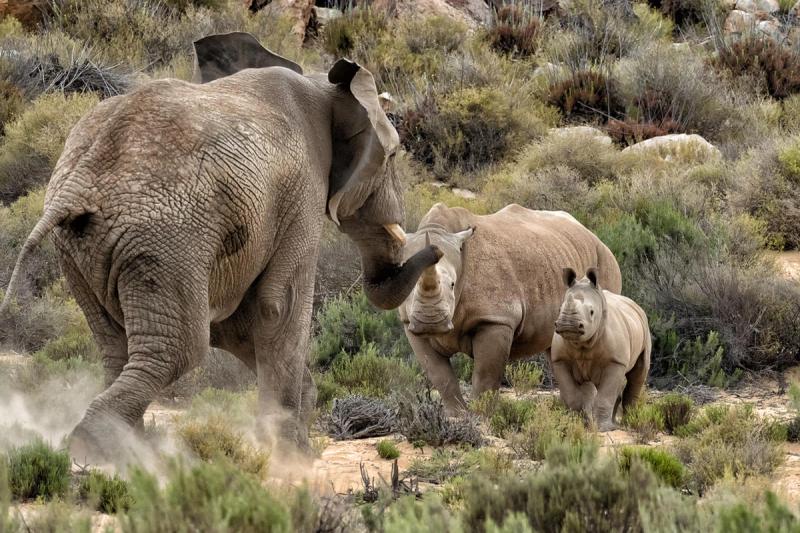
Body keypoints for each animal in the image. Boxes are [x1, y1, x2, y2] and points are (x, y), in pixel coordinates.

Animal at [0, 32, 442, 461]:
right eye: (393, 154)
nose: (436, 249)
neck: (324, 86)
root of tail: (78, 183)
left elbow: (238, 324)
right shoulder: (303, 195)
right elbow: (278, 307)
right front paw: (292, 456)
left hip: (84, 250)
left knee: (118, 347)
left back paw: (128, 449)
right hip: (164, 241)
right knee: (179, 349)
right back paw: (99, 447)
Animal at [398, 203, 622, 414]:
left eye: (452, 284)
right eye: (408, 285)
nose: (431, 320)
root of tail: (591, 234)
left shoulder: (495, 319)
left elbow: (485, 377)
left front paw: (481, 416)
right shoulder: (410, 324)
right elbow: (440, 376)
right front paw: (458, 416)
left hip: (604, 260)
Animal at [551, 267, 651, 431]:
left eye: (592, 312)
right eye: (560, 309)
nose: (568, 324)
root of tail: (636, 305)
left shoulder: (616, 361)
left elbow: (605, 395)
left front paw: (603, 429)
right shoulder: (560, 360)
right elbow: (571, 395)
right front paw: (576, 425)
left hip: (644, 325)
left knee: (639, 372)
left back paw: (628, 422)